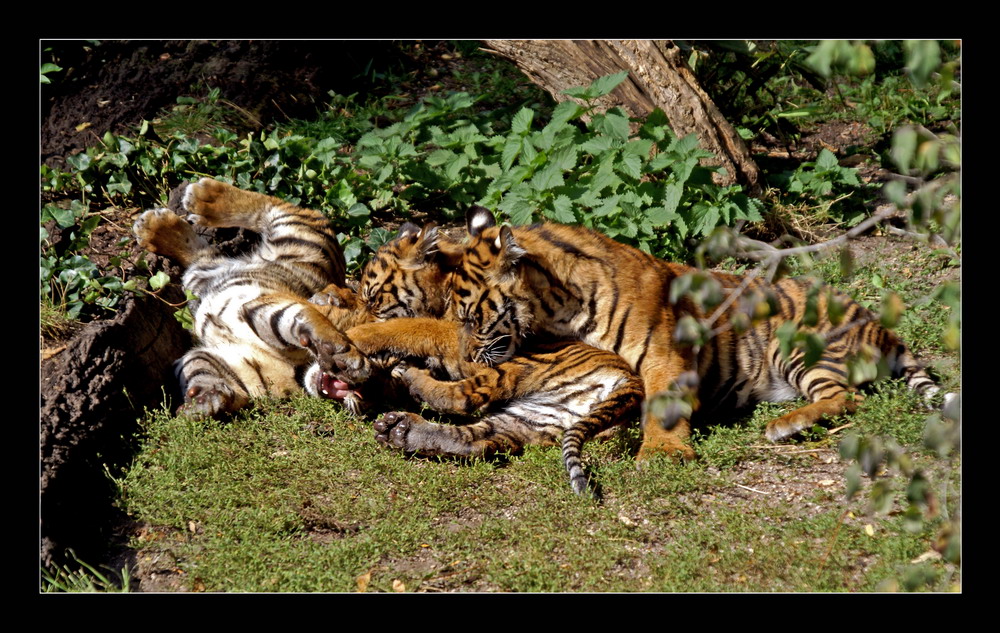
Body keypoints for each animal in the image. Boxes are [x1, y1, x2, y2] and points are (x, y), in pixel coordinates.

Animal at [132, 175, 368, 418]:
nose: (361, 395)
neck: (300, 369)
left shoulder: (222, 359)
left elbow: (202, 369)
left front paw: (207, 400)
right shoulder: (265, 306)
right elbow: (309, 318)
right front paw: (342, 354)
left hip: (203, 274)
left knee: (200, 256)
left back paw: (156, 228)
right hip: (308, 238)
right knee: (281, 206)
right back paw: (200, 197)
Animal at [308, 225, 644, 496]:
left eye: (376, 300)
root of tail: (630, 380)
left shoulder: (461, 335)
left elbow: (412, 328)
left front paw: (355, 337)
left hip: (519, 366)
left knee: (461, 397)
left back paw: (412, 383)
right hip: (536, 416)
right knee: (479, 439)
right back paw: (402, 431)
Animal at [334, 205, 944, 462]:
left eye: (471, 316)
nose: (468, 357)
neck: (557, 304)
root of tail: (881, 326)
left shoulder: (662, 353)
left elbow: (666, 404)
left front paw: (664, 454)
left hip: (800, 347)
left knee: (850, 399)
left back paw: (786, 426)